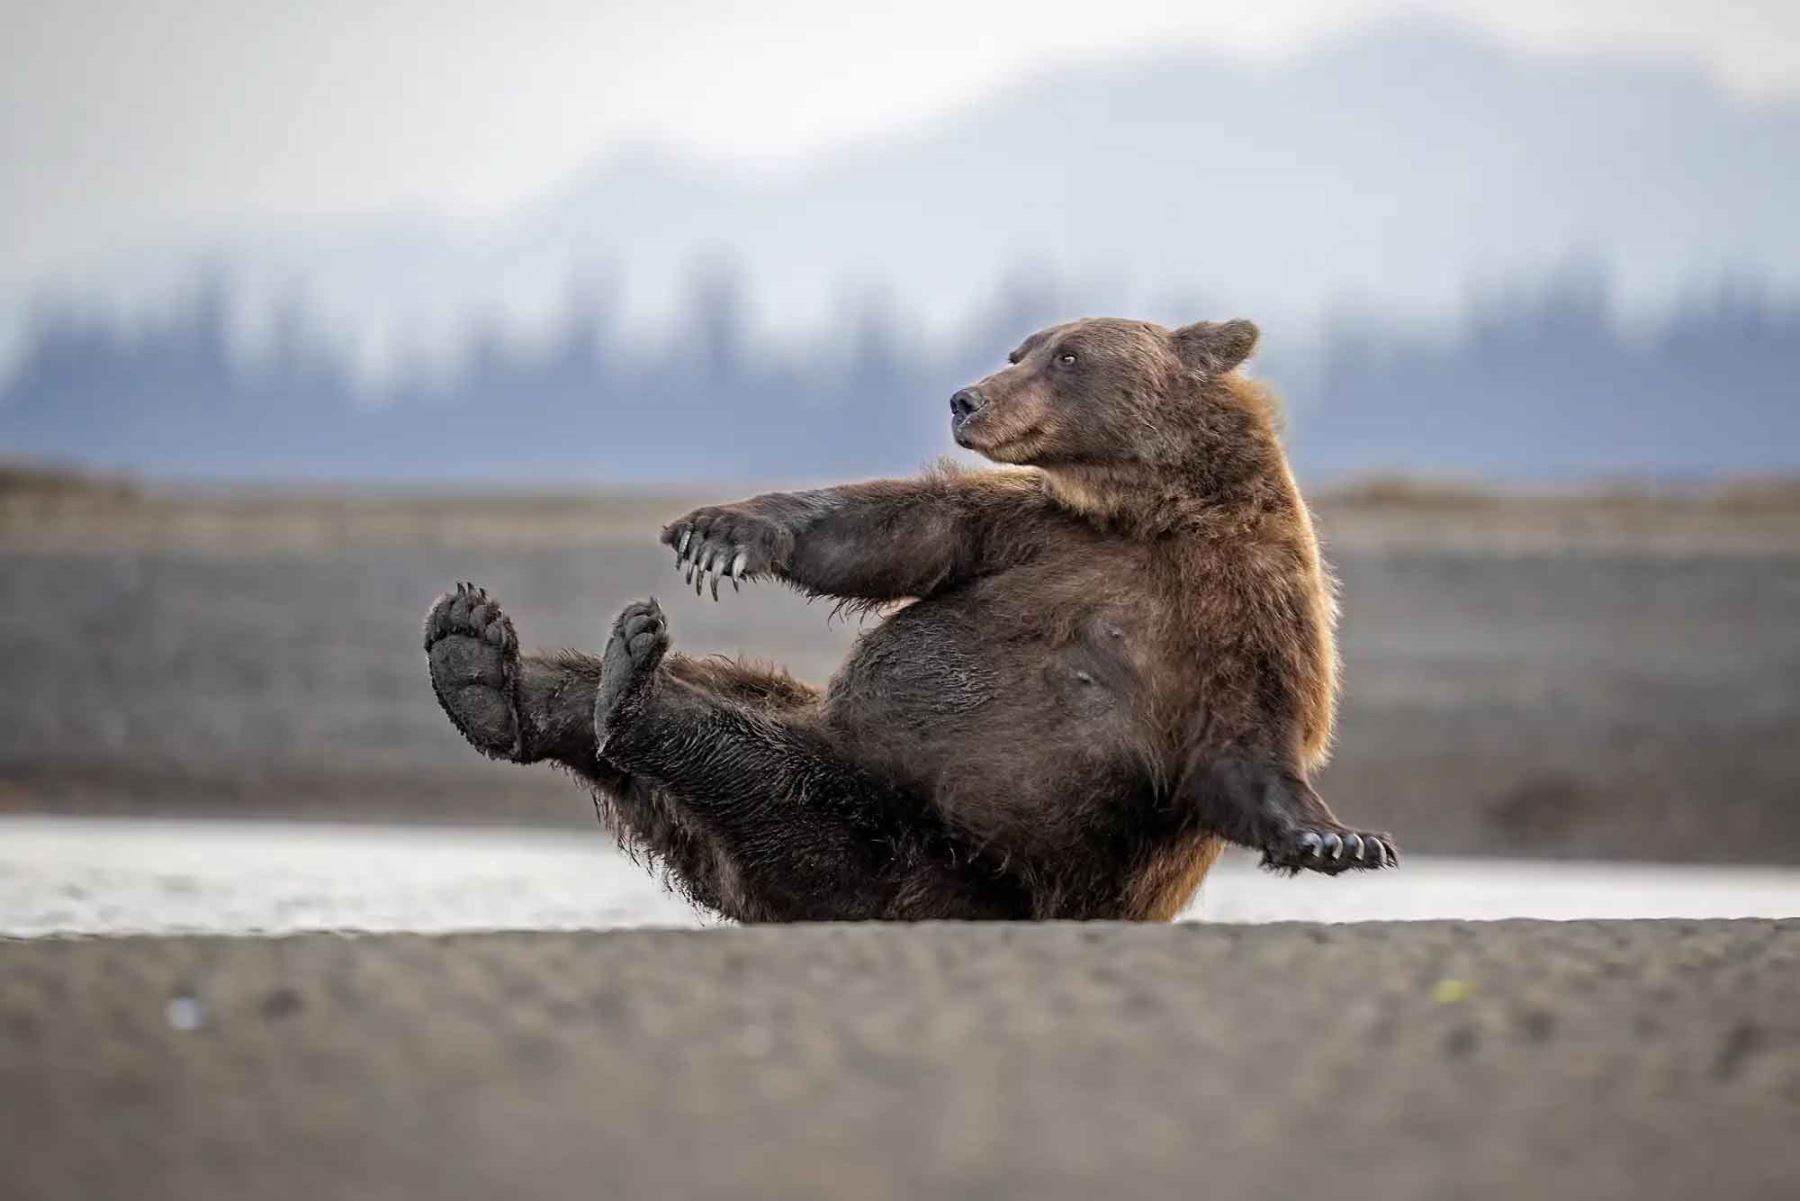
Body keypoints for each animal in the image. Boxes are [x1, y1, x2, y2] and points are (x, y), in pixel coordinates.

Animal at [424, 316, 1395, 921]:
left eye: (1068, 354)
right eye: (1019, 346)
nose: (967, 396)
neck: (1150, 512)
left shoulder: (1247, 608)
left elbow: (1246, 746)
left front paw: (1336, 837)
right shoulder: (1035, 532)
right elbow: (895, 532)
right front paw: (722, 531)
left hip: (906, 851)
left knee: (750, 768)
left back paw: (614, 688)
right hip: (846, 763)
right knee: (720, 699)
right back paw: (484, 661)